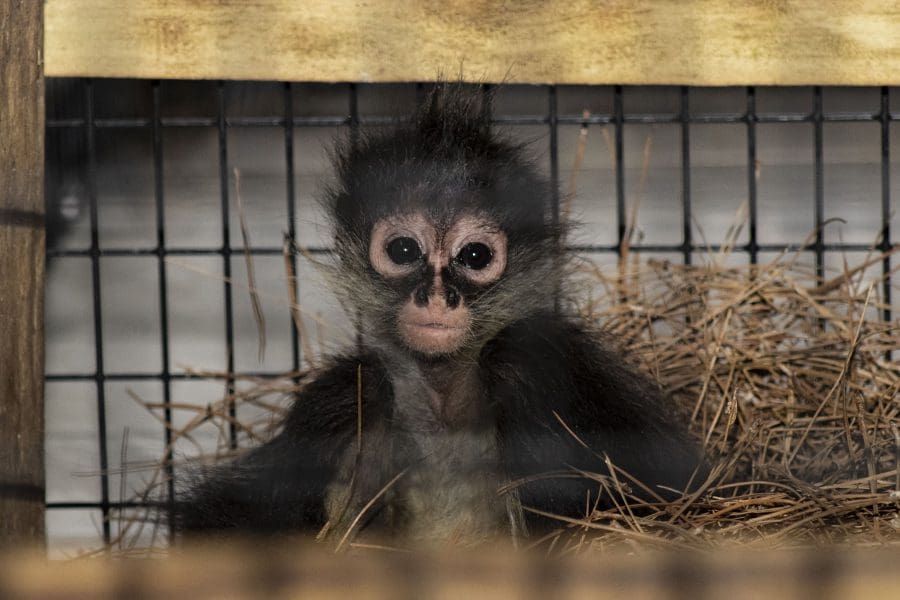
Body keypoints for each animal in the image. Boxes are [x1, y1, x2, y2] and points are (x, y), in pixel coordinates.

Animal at [176, 84, 708, 548]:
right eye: (403, 250)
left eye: (474, 256)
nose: (436, 297)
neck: (442, 404)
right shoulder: (344, 395)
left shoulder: (535, 362)